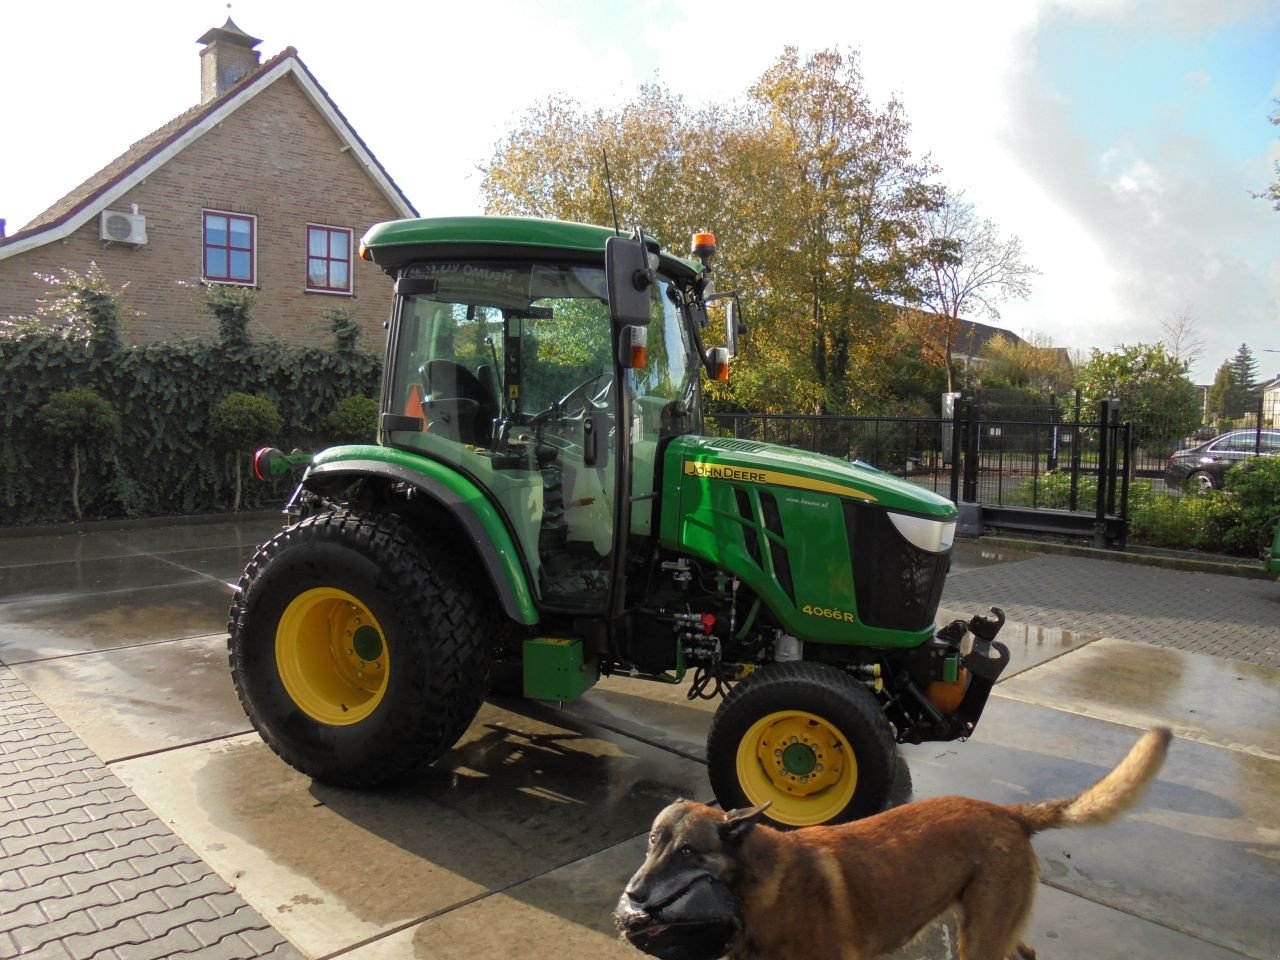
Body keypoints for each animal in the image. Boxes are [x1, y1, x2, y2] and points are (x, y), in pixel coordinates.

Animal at [616, 727, 1172, 960]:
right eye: (652, 841)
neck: (761, 883)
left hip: (979, 942)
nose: (634, 895)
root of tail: (1009, 814)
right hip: (985, 928)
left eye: (688, 852)